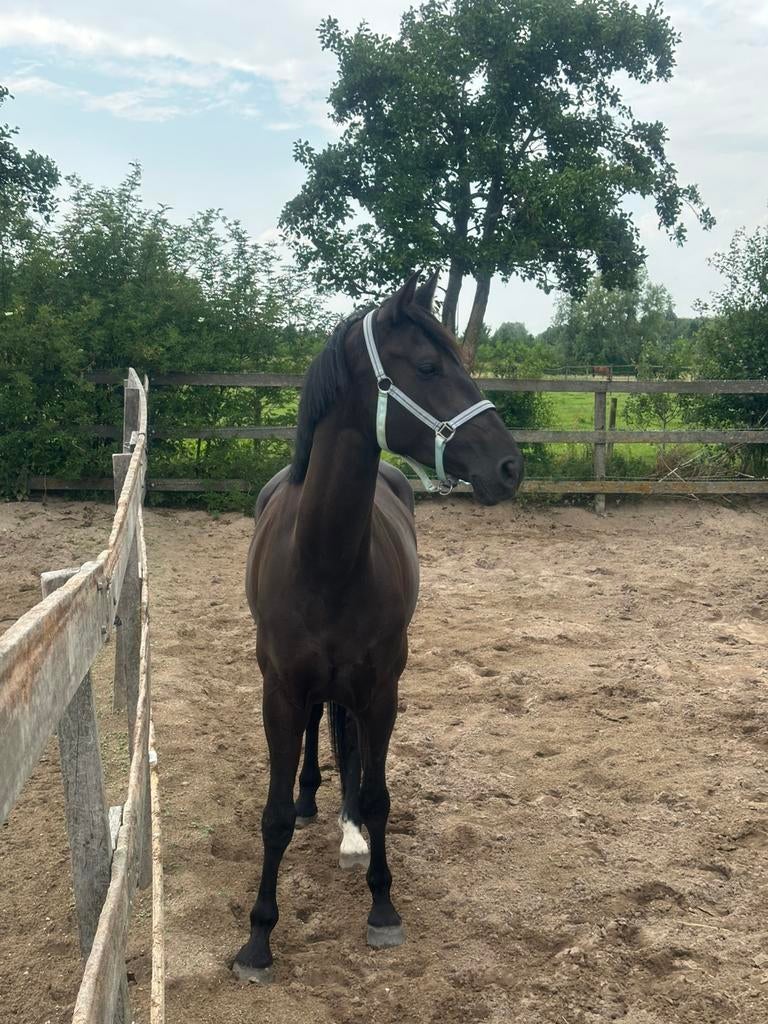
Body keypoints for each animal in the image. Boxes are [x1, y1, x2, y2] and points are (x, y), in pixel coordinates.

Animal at [233, 272, 524, 982]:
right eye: (427, 366)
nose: (511, 466)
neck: (326, 560)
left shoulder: (381, 690)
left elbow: (378, 796)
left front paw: (383, 907)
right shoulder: (280, 693)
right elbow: (272, 816)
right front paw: (258, 938)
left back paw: (346, 828)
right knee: (319, 738)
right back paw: (313, 803)